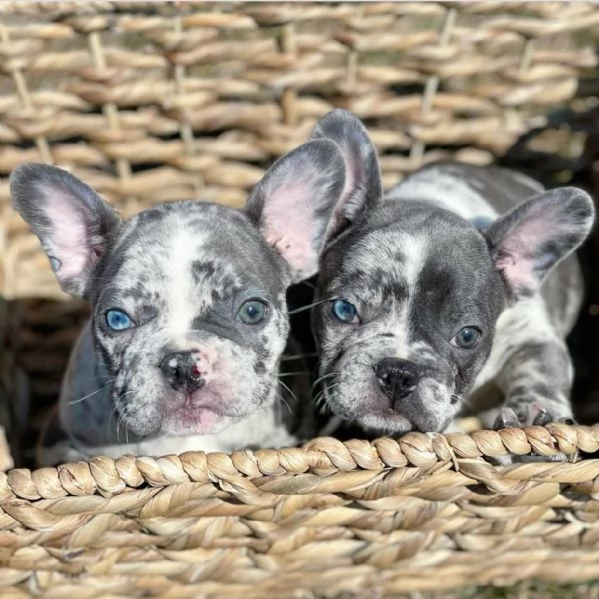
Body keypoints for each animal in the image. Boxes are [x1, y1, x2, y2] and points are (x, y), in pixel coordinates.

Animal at [310, 110, 596, 440]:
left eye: (468, 336)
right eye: (344, 310)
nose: (399, 372)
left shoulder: (529, 333)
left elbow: (541, 370)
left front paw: (535, 415)